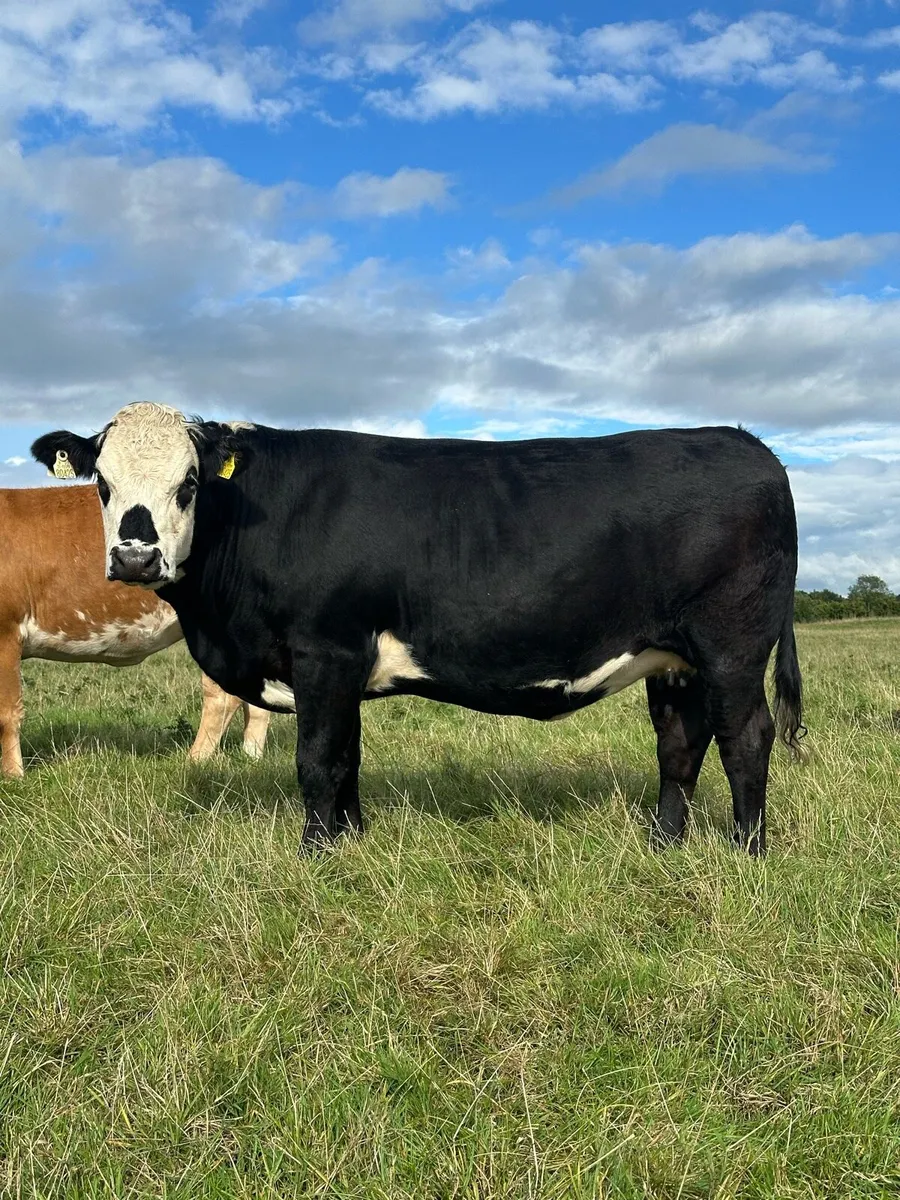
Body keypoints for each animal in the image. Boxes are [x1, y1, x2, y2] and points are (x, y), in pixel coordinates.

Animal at [0, 483, 269, 778]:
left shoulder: (6, 632)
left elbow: (6, 713)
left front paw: (13, 775)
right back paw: (251, 758)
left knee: (222, 696)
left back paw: (196, 760)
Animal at [32, 403, 804, 855]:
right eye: (101, 482)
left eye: (190, 483)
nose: (135, 557)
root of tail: (748, 443)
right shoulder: (342, 667)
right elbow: (347, 758)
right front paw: (352, 840)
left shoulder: (323, 651)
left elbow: (317, 760)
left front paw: (317, 854)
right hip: (673, 657)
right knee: (680, 743)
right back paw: (664, 843)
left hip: (732, 646)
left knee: (746, 737)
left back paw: (747, 850)